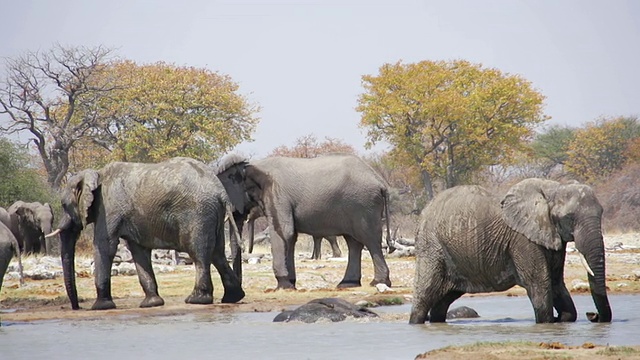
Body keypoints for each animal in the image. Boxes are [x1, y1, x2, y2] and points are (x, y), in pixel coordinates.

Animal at [45, 156, 245, 310]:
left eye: (64, 205)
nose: (77, 307)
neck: (96, 173)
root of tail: (221, 192)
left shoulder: (108, 208)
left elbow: (105, 246)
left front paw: (100, 307)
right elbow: (138, 251)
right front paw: (151, 304)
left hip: (198, 214)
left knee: (199, 254)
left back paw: (196, 300)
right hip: (213, 214)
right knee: (218, 253)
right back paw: (232, 298)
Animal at [216, 154, 396, 290]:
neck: (251, 164)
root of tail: (380, 182)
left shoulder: (277, 194)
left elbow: (284, 233)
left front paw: (282, 286)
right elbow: (291, 238)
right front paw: (290, 284)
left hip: (364, 205)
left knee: (370, 240)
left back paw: (378, 282)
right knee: (354, 243)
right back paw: (347, 284)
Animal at [408, 179, 612, 324]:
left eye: (602, 212)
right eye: (569, 217)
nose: (593, 315)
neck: (553, 189)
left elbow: (556, 284)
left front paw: (562, 319)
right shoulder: (522, 239)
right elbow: (540, 283)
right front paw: (548, 322)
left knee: (442, 302)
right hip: (432, 247)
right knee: (425, 294)